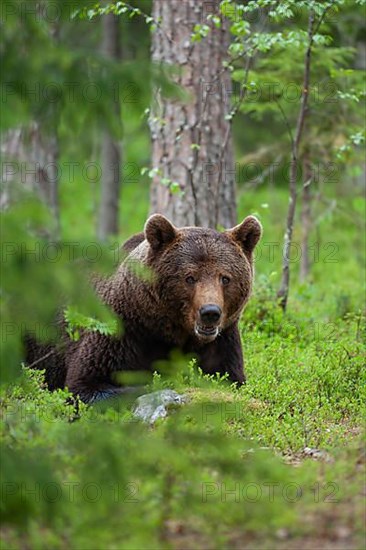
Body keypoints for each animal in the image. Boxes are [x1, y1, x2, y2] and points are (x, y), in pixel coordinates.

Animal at [25, 213, 262, 404]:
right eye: (190, 277)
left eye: (225, 278)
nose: (210, 312)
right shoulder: (123, 331)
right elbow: (88, 384)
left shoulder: (221, 342)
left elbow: (228, 378)